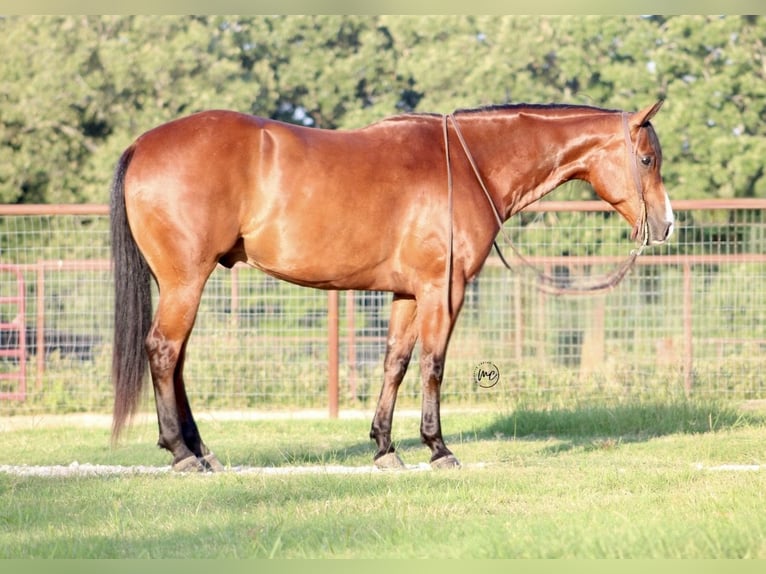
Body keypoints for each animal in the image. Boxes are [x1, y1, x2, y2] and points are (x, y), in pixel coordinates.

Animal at [110, 101, 674, 471]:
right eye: (647, 159)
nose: (667, 225)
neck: (469, 165)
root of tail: (142, 144)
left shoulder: (407, 294)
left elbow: (395, 364)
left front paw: (384, 448)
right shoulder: (443, 291)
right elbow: (433, 366)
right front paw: (438, 448)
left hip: (181, 284)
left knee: (177, 360)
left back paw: (201, 450)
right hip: (186, 281)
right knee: (163, 351)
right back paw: (182, 454)